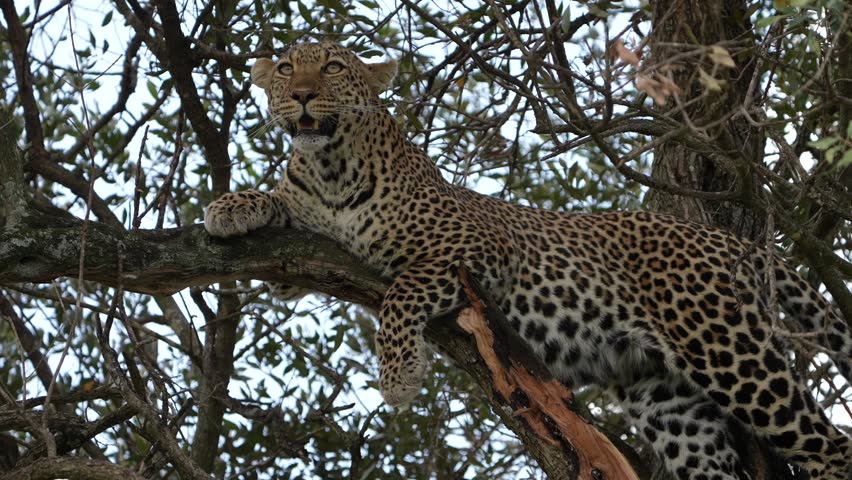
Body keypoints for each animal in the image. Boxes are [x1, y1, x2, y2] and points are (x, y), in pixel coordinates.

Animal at [204, 42, 852, 480]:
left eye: (334, 68)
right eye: (285, 69)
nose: (301, 95)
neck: (330, 168)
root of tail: (727, 240)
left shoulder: (478, 247)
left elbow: (402, 291)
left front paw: (399, 375)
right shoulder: (305, 244)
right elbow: (279, 208)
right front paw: (230, 207)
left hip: (727, 348)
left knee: (826, 443)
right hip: (669, 399)